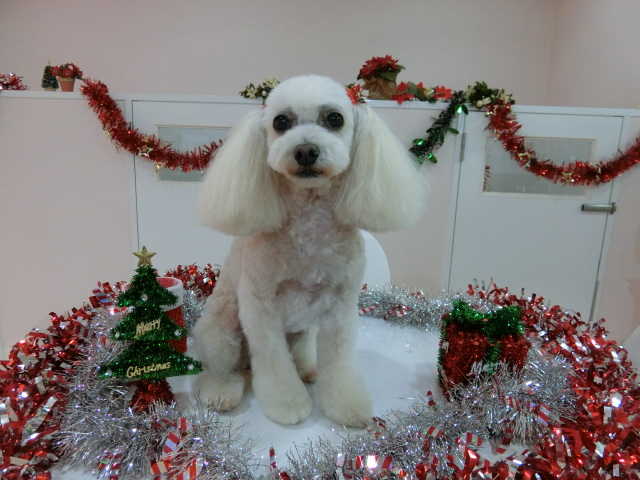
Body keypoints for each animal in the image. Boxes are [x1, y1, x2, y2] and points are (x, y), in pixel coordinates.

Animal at [193, 75, 425, 427]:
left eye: (335, 119)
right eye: (280, 122)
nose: (305, 151)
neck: (311, 219)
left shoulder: (341, 308)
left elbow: (339, 363)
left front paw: (345, 404)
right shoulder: (259, 308)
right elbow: (273, 362)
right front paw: (286, 403)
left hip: (303, 329)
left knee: (296, 353)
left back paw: (307, 369)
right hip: (222, 326)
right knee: (221, 369)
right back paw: (222, 391)